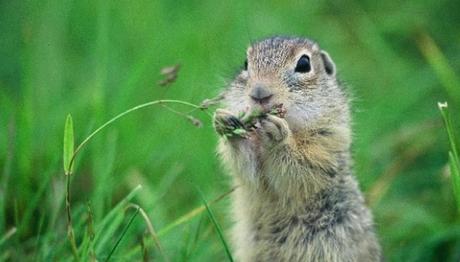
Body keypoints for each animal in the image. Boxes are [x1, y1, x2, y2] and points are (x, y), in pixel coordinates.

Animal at [212, 36, 380, 262]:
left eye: (304, 64)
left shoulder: (327, 142)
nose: (259, 93)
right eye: (246, 64)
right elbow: (247, 171)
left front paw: (278, 136)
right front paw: (226, 121)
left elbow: (302, 169)